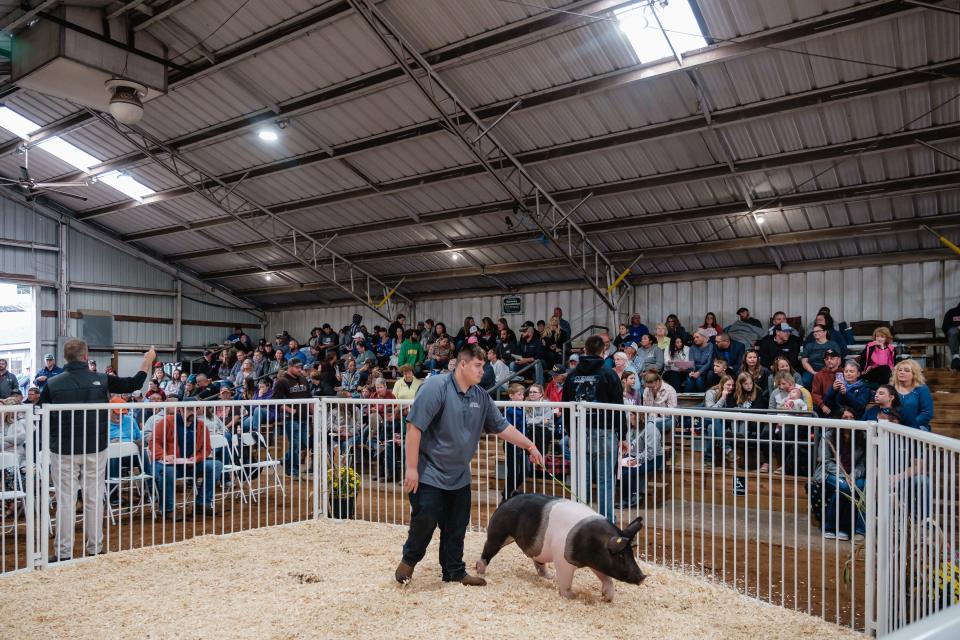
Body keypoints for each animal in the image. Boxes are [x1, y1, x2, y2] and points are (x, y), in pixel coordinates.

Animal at [474, 492, 644, 604]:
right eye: (620, 555)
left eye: (631, 553)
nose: (643, 576)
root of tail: (509, 498)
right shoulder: (562, 559)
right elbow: (565, 580)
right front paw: (571, 597)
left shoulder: (597, 562)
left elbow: (605, 577)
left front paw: (607, 598)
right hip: (498, 532)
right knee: (487, 550)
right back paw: (480, 571)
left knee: (538, 561)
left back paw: (549, 577)